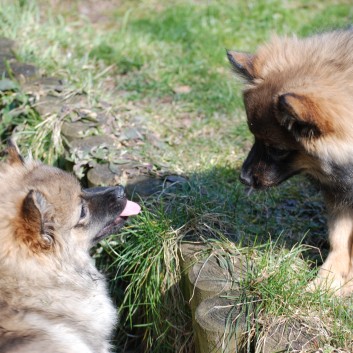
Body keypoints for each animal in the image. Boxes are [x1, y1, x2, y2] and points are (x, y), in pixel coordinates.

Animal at [227, 29, 352, 294]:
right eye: (254, 137)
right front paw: (326, 283)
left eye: (277, 150)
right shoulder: (341, 192)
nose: (243, 178)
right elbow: (339, 238)